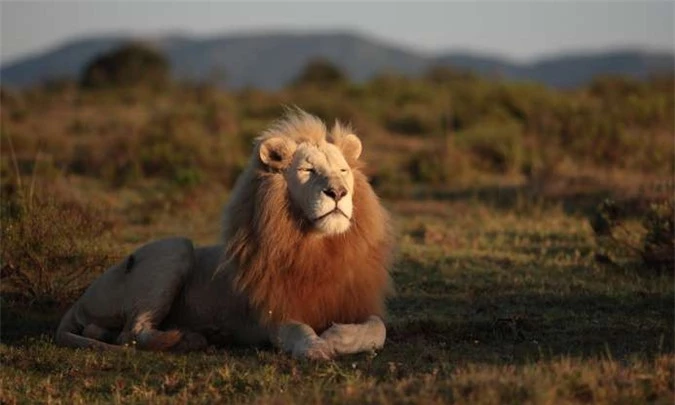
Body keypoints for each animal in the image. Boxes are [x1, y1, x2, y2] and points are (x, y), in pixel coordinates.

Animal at [58, 109, 396, 358]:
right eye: (307, 171)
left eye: (342, 171)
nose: (337, 192)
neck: (317, 245)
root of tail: (83, 296)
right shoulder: (273, 314)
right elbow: (299, 331)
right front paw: (317, 346)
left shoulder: (356, 300)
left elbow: (377, 330)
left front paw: (336, 336)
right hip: (175, 248)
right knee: (132, 332)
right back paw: (189, 339)